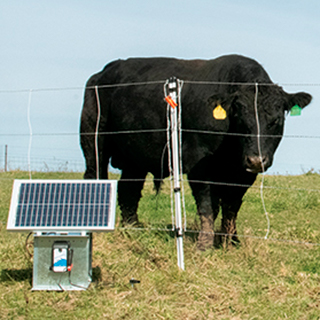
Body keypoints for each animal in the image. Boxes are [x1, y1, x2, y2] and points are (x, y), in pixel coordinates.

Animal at [80, 55, 312, 250]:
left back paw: (133, 228)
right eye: (241, 118)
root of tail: (104, 71)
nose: (256, 159)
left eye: (276, 120)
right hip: (94, 143)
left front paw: (231, 241)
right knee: (95, 177)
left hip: (134, 156)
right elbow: (209, 206)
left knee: (129, 189)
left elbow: (231, 207)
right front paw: (205, 243)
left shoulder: (243, 174)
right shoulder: (199, 164)